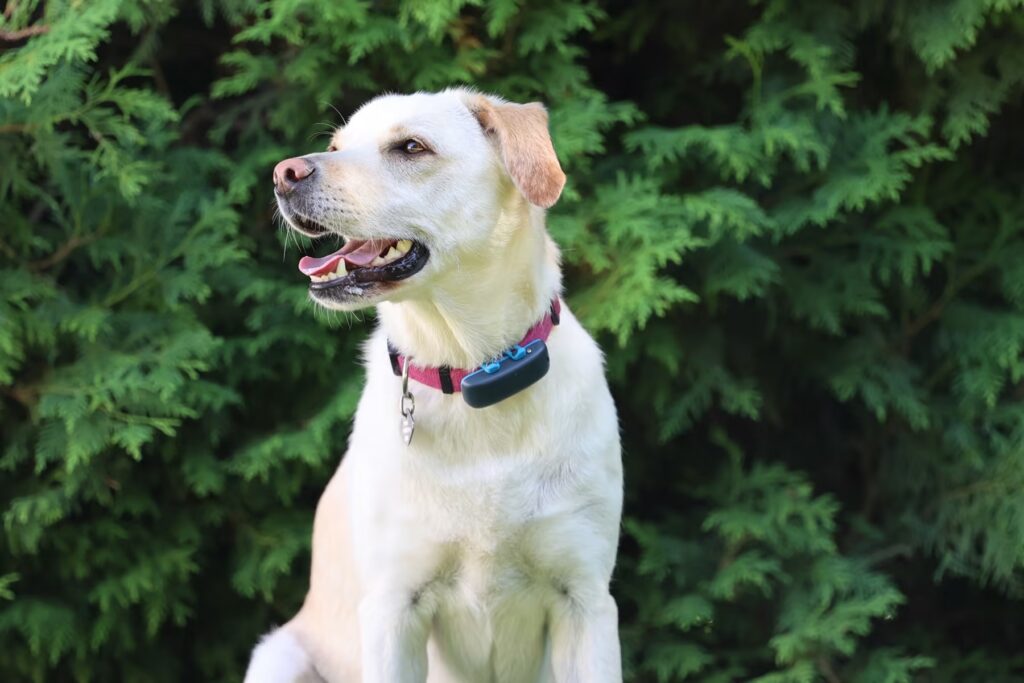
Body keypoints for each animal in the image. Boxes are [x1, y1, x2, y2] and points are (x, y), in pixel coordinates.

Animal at [246, 89, 622, 683]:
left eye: (411, 147)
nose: (285, 173)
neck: (471, 370)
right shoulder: (393, 606)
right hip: (277, 655)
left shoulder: (586, 600)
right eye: (336, 146)